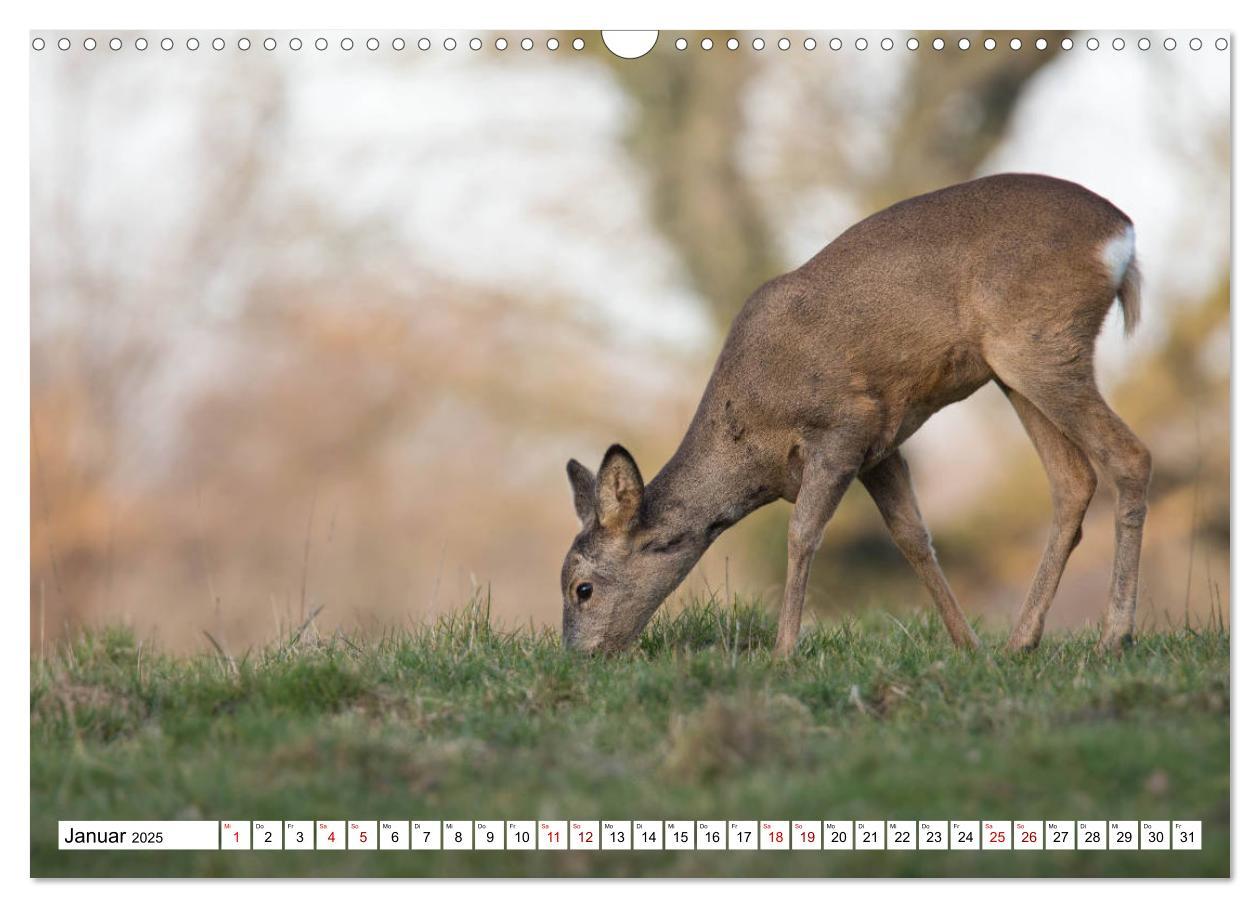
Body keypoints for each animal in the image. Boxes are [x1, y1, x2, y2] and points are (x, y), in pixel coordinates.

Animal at [561, 171, 1154, 649]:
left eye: (581, 588)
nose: (580, 657)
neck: (750, 437)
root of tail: (1122, 234)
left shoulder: (845, 425)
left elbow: (802, 533)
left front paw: (783, 654)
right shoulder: (881, 447)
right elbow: (913, 537)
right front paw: (967, 647)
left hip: (1040, 345)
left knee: (1130, 456)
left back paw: (1113, 638)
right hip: (1014, 368)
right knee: (1073, 481)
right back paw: (1020, 642)